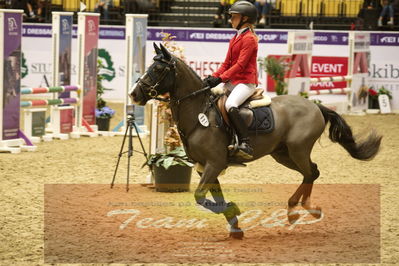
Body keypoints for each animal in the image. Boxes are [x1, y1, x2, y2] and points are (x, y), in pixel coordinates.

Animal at [130, 43, 382, 239]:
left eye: (158, 68)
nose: (134, 94)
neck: (199, 111)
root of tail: (315, 106)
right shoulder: (206, 167)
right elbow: (213, 196)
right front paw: (235, 226)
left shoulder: (214, 163)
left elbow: (200, 196)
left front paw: (234, 210)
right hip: (283, 154)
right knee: (313, 172)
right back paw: (302, 208)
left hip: (298, 150)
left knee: (310, 172)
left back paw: (298, 210)